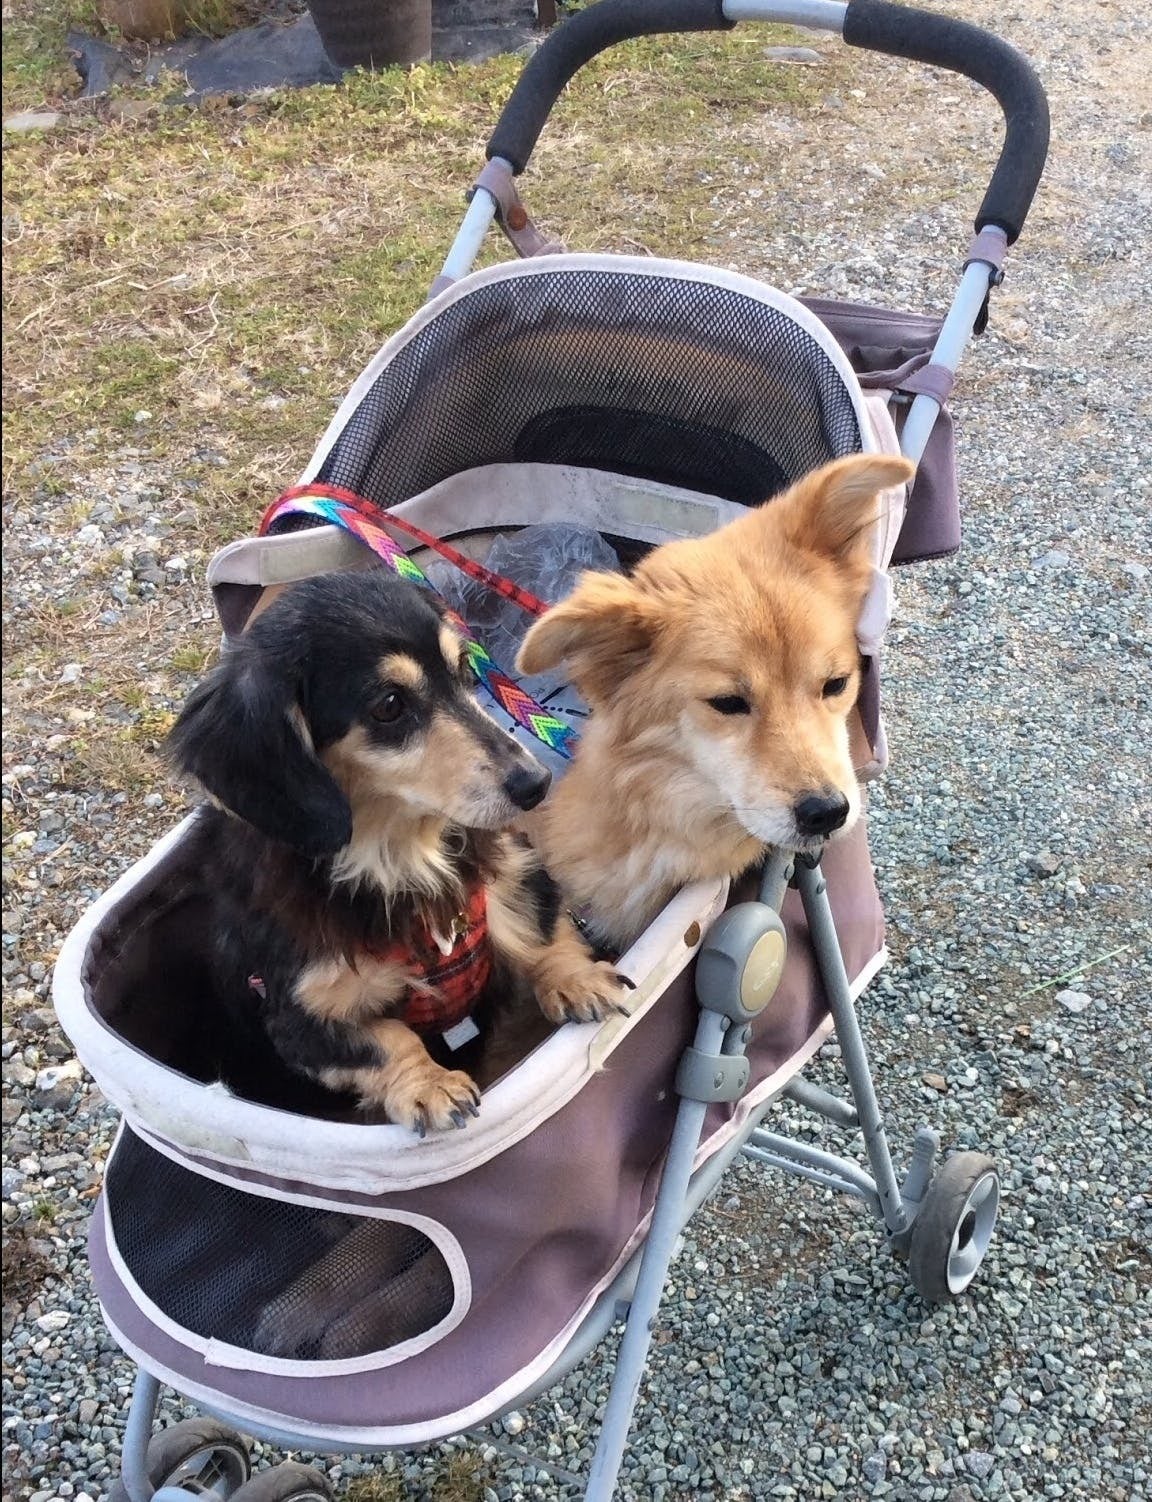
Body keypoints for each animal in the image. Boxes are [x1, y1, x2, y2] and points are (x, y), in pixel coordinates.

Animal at [167, 568, 630, 1136]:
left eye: (463, 671)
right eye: (389, 705)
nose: (536, 783)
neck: (399, 856)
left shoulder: (512, 875)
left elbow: (537, 935)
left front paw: (577, 979)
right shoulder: (301, 1018)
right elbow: (386, 1040)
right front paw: (431, 1086)